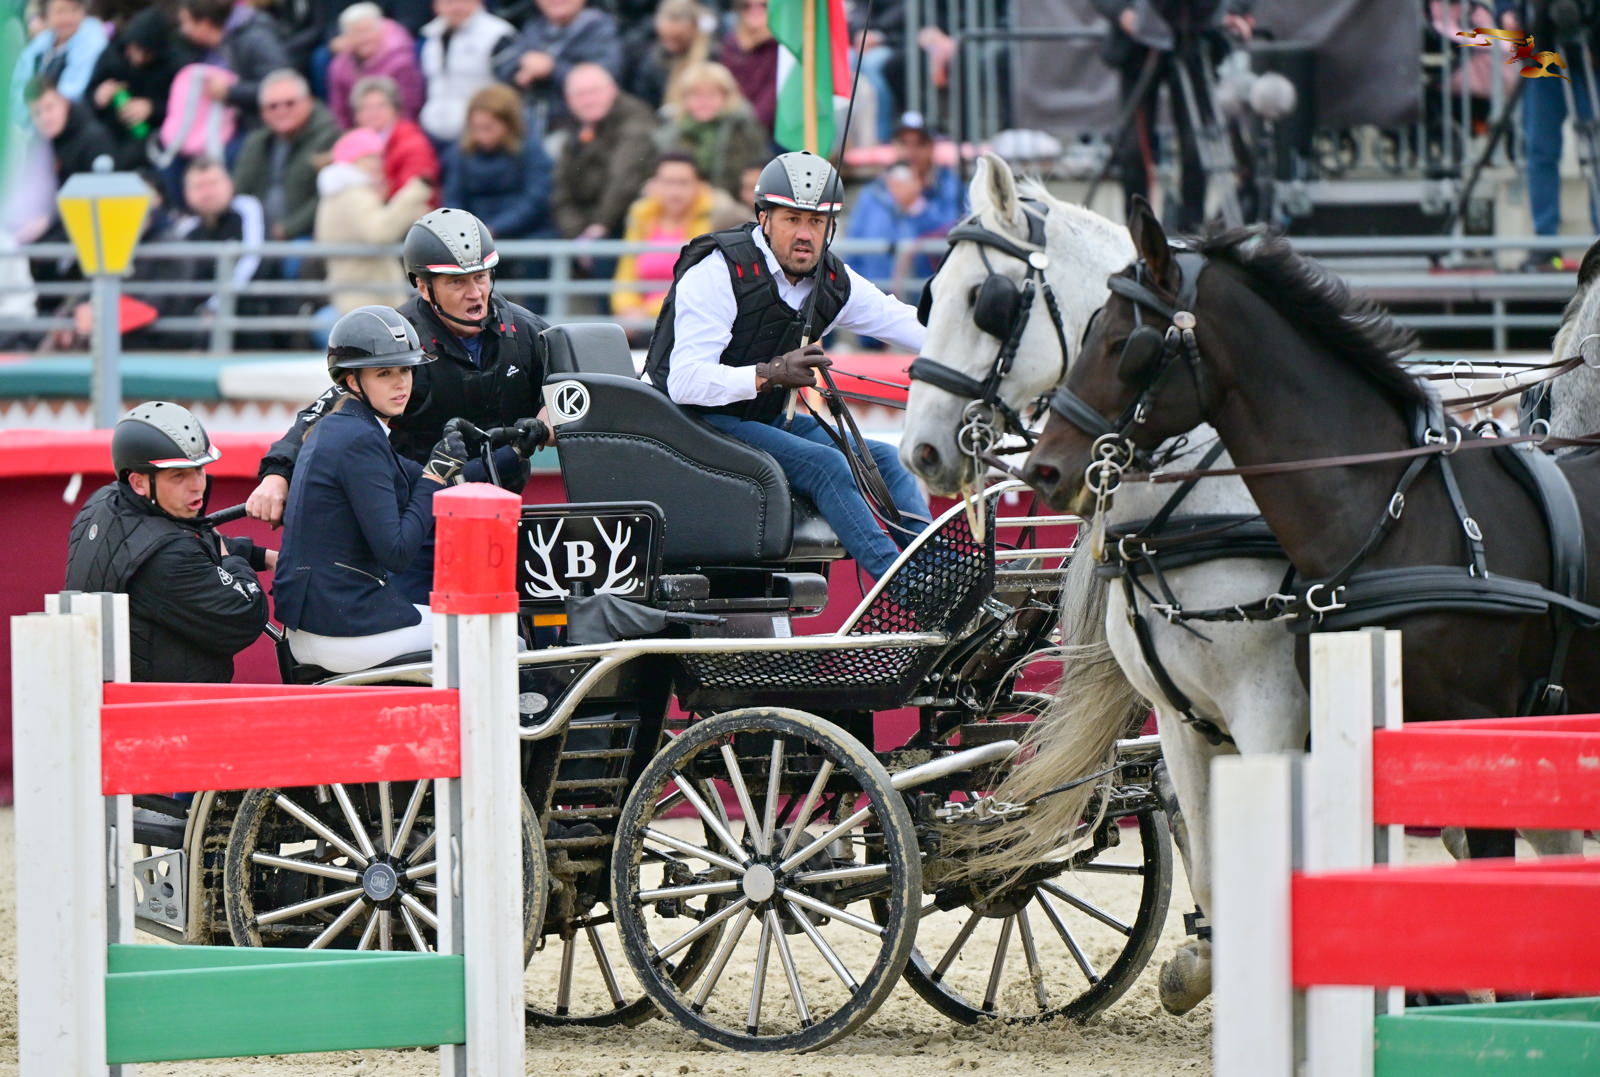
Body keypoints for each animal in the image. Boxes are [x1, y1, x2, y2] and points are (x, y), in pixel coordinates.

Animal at [901, 156, 1309, 1014]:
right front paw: (1203, 964)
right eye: (930, 292)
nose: (918, 448)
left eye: (983, 299)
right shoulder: (1188, 714)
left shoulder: (1267, 705)